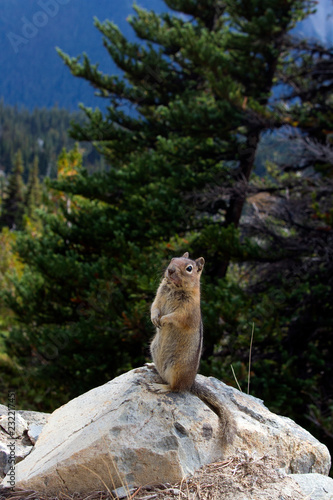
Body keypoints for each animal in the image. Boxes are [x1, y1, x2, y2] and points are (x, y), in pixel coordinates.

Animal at [148, 254, 236, 446]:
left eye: (189, 268)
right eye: (172, 259)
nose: (170, 270)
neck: (174, 288)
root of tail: (191, 382)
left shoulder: (187, 311)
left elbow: (175, 317)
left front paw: (163, 320)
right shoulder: (158, 295)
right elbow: (154, 306)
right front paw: (155, 318)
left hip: (176, 369)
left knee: (175, 388)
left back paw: (160, 387)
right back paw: (151, 366)